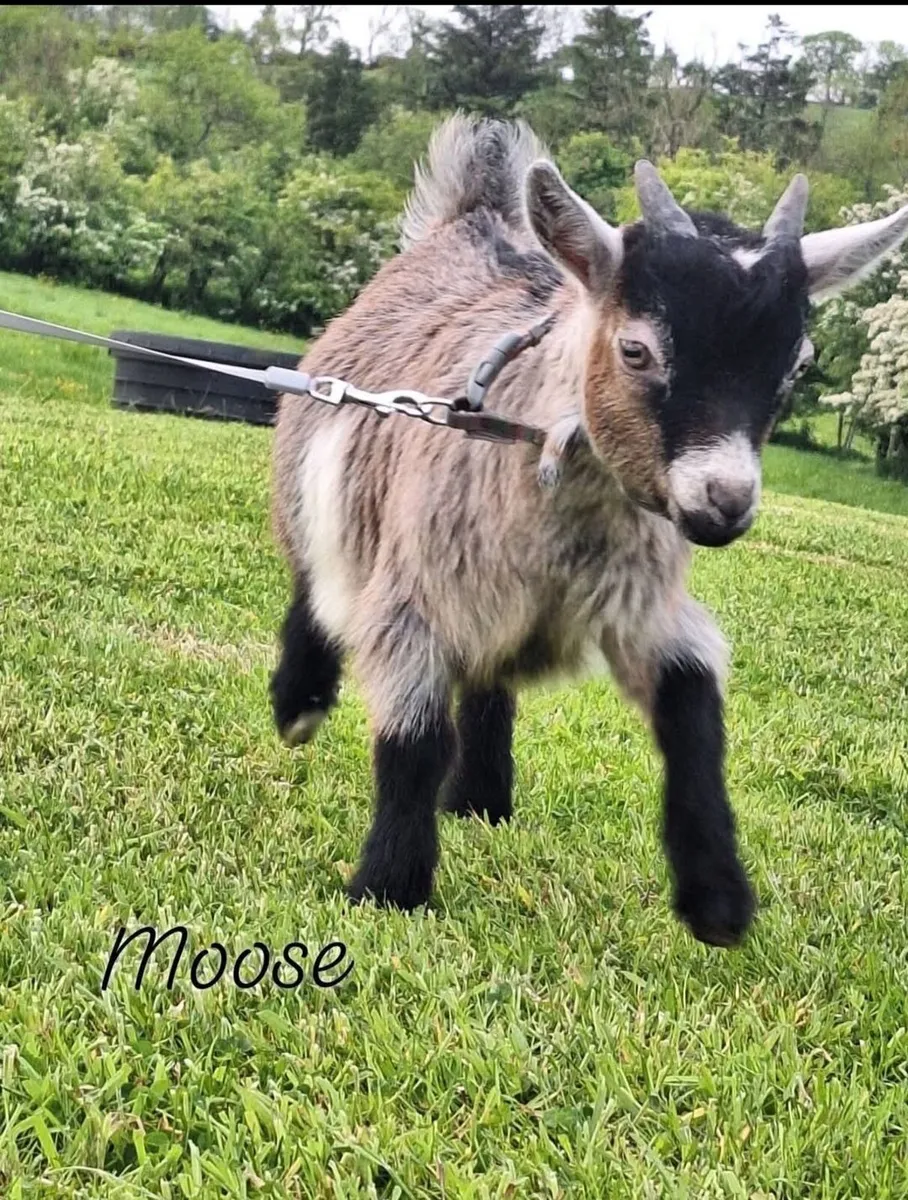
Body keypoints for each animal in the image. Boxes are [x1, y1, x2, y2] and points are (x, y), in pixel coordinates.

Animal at [270, 116, 908, 947]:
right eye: (636, 350)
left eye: (796, 366)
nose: (726, 502)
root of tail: (474, 220)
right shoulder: (414, 599)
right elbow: (414, 738)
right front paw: (388, 888)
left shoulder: (639, 605)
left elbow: (692, 698)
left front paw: (717, 899)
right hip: (321, 480)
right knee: (316, 576)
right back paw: (300, 704)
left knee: (490, 677)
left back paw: (482, 799)